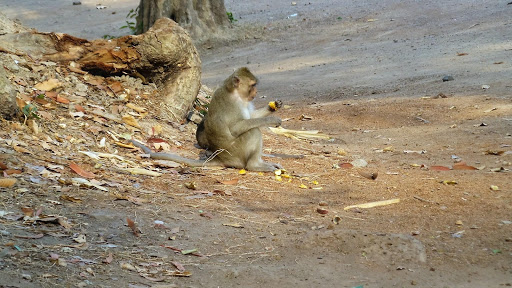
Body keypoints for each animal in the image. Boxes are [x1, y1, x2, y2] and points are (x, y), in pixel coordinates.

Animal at [131, 66, 284, 172]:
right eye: (253, 85)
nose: (256, 92)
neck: (234, 92)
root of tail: (220, 157)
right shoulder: (233, 105)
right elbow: (236, 128)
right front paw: (271, 120)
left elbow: (251, 117)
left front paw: (274, 107)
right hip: (236, 153)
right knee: (253, 131)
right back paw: (254, 166)